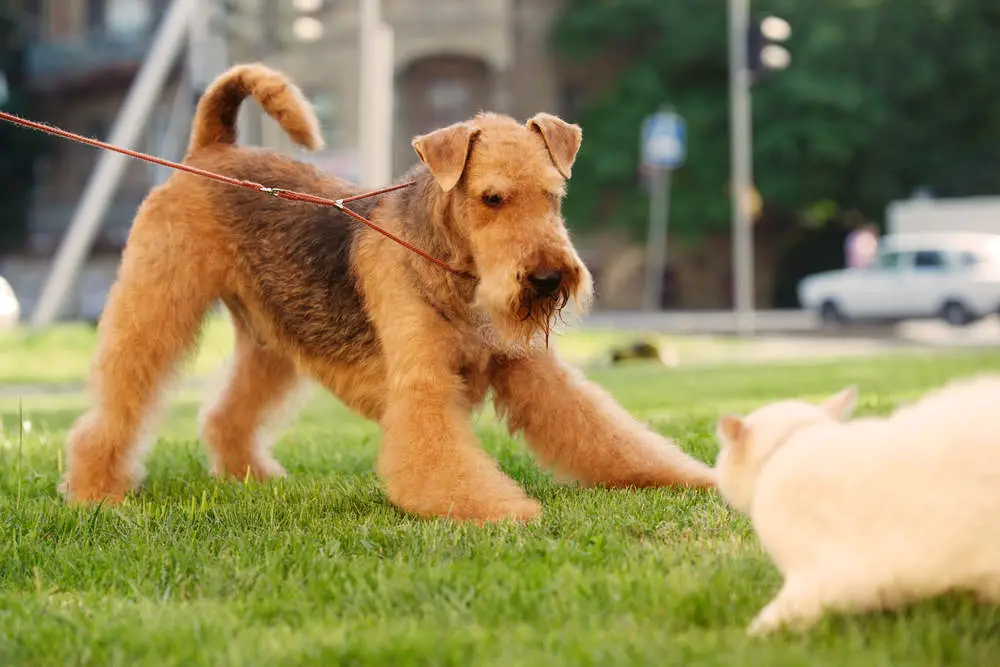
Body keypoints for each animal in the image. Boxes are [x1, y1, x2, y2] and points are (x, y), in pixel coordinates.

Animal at [62, 64, 716, 520]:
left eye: (554, 196)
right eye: (493, 198)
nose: (548, 278)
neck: (457, 275)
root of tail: (211, 148)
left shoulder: (533, 370)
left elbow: (605, 432)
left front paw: (693, 477)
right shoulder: (423, 386)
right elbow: (438, 459)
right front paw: (504, 511)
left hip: (272, 337)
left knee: (228, 413)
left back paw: (252, 476)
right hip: (156, 303)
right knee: (117, 404)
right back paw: (97, 491)